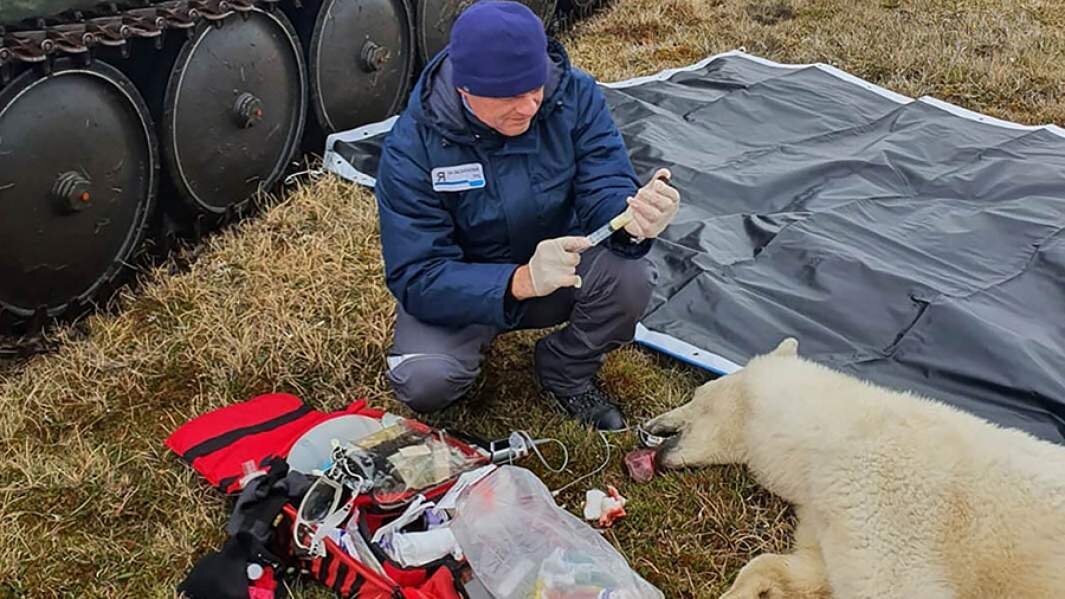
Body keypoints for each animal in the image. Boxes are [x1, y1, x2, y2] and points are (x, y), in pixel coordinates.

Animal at [639, 338, 1065, 592]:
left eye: (697, 395)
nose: (650, 425)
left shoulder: (885, 503)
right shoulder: (824, 508)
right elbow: (808, 568)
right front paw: (744, 590)